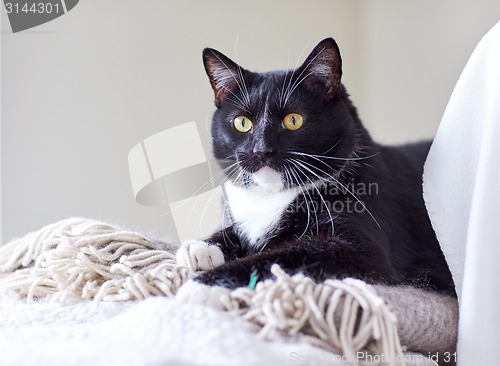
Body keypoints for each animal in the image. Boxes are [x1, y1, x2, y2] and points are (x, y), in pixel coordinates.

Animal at [175, 38, 454, 306]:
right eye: (242, 123)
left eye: (293, 120)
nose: (261, 150)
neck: (272, 195)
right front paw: (201, 247)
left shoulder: (361, 249)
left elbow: (278, 258)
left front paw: (202, 286)